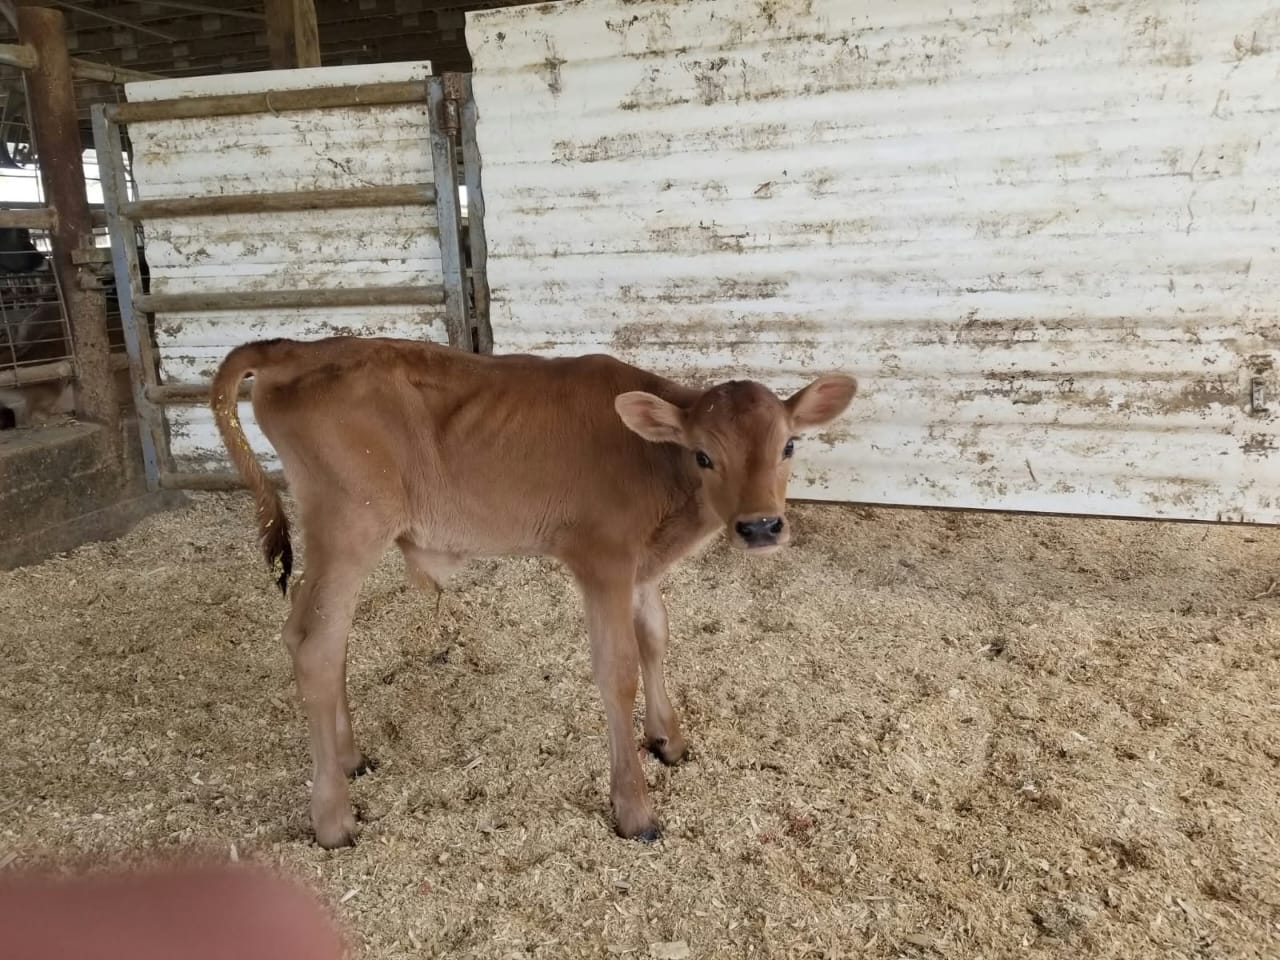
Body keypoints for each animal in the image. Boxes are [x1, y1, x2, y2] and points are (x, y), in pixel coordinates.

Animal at [211, 336, 857, 848]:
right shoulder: (602, 559)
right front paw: (634, 808)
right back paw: (332, 820)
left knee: (328, 638)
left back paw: (350, 759)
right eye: (704, 455)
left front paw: (668, 740)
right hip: (349, 525)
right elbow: (617, 670)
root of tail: (295, 347)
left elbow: (656, 638)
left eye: (789, 446)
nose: (761, 527)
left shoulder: (643, 567)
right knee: (313, 643)